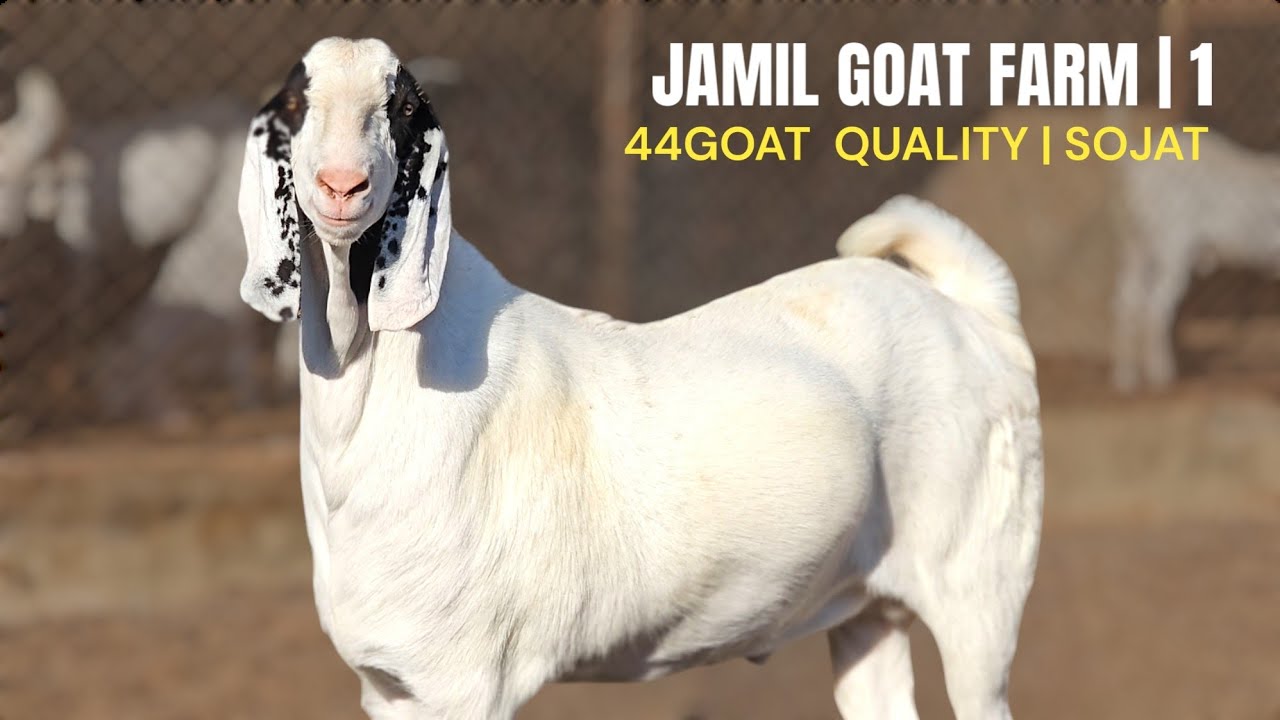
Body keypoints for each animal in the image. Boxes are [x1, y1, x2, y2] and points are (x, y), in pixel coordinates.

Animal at [240, 37, 1043, 720]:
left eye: (403, 106)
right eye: (295, 103)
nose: (342, 185)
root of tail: (975, 314)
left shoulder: (462, 682)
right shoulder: (390, 686)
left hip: (979, 589)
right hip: (866, 609)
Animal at [1111, 128, 1280, 392]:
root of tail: (1135, 169)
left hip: (1133, 246)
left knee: (1126, 302)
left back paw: (1125, 377)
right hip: (1170, 244)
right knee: (1154, 306)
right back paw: (1161, 375)